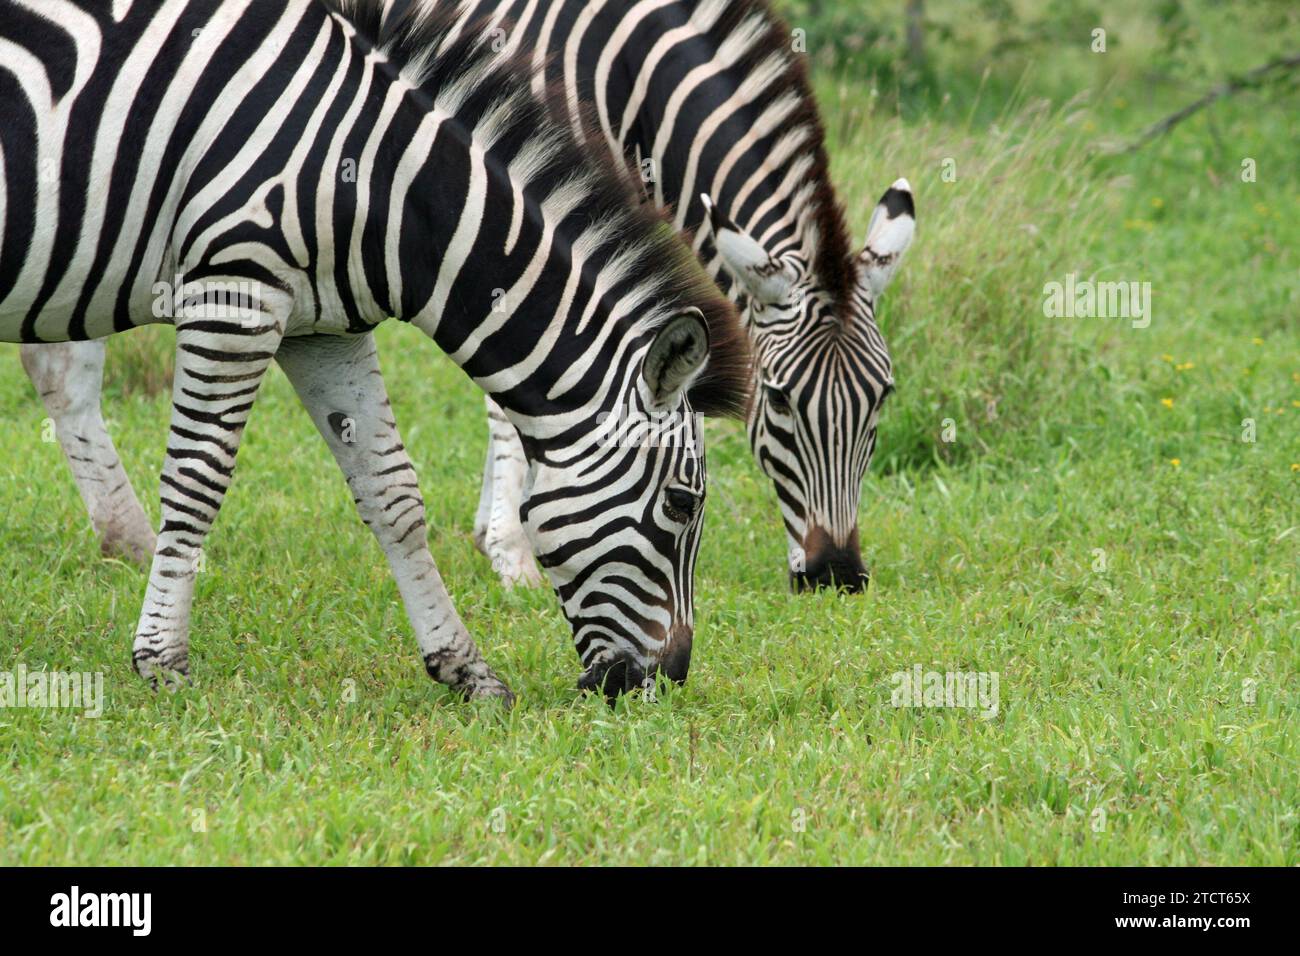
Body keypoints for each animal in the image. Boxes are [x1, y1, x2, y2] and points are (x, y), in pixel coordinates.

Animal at [2, 0, 754, 702]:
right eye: (682, 504)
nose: (666, 681)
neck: (375, 182)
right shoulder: (234, 291)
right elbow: (196, 480)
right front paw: (162, 661)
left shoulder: (323, 329)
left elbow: (392, 493)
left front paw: (466, 670)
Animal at [17, 0, 915, 590]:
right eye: (781, 405)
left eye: (883, 402)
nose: (837, 574)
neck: (614, 61)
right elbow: (514, 395)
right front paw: (513, 550)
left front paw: (497, 525)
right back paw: (136, 537)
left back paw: (126, 537)